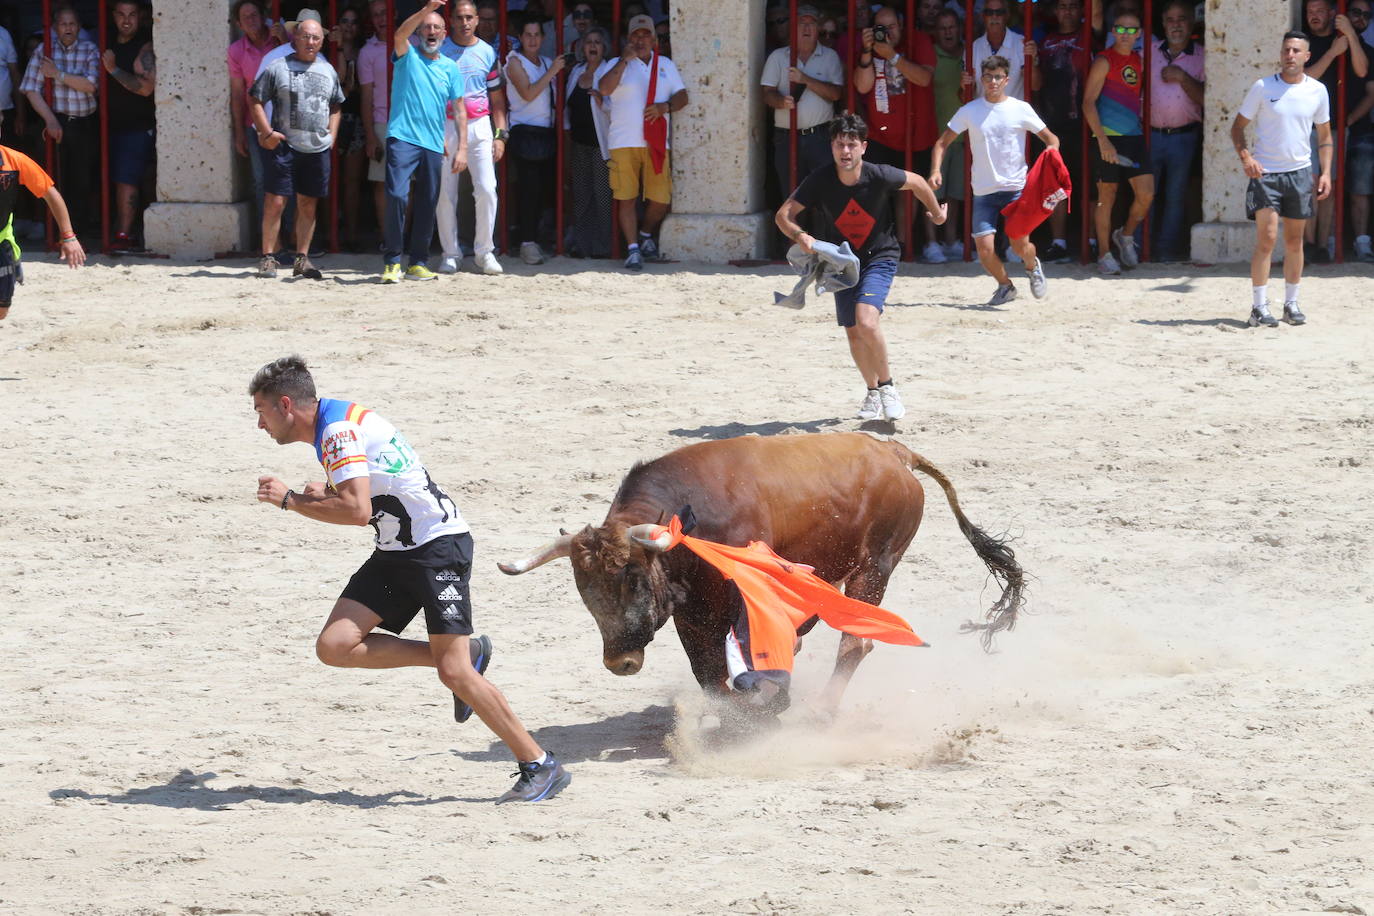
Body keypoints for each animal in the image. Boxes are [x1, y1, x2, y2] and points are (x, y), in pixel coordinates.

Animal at [500, 433, 1027, 714]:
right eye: (582, 590)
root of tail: (893, 451)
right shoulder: (692, 617)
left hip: (875, 566)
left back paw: (823, 711)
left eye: (632, 579)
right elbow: (709, 676)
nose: (620, 663)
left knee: (856, 642)